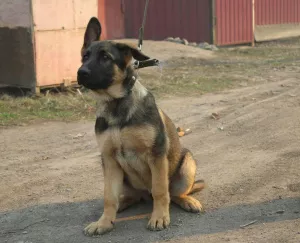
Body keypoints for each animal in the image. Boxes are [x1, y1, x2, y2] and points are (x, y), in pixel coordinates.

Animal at [76, 16, 205, 235]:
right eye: (85, 56)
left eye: (105, 57)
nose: (81, 72)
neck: (117, 103)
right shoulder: (109, 160)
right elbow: (108, 197)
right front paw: (104, 222)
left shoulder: (156, 156)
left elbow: (161, 191)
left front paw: (159, 217)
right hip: (122, 177)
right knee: (132, 196)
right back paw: (122, 204)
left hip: (187, 165)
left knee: (173, 194)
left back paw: (188, 201)